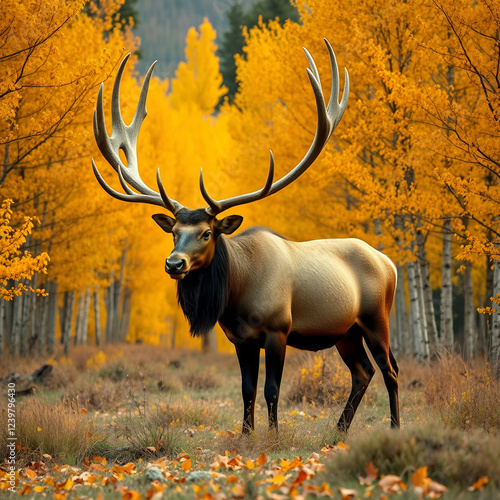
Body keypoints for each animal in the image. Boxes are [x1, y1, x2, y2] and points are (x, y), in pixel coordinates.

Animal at [92, 41, 400, 434]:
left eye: (207, 232)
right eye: (174, 232)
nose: (174, 263)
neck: (236, 295)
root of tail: (390, 263)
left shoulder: (278, 330)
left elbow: (271, 390)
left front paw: (273, 435)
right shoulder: (240, 339)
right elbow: (246, 390)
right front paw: (246, 434)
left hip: (376, 319)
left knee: (390, 370)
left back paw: (394, 426)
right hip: (345, 332)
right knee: (363, 372)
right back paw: (339, 430)